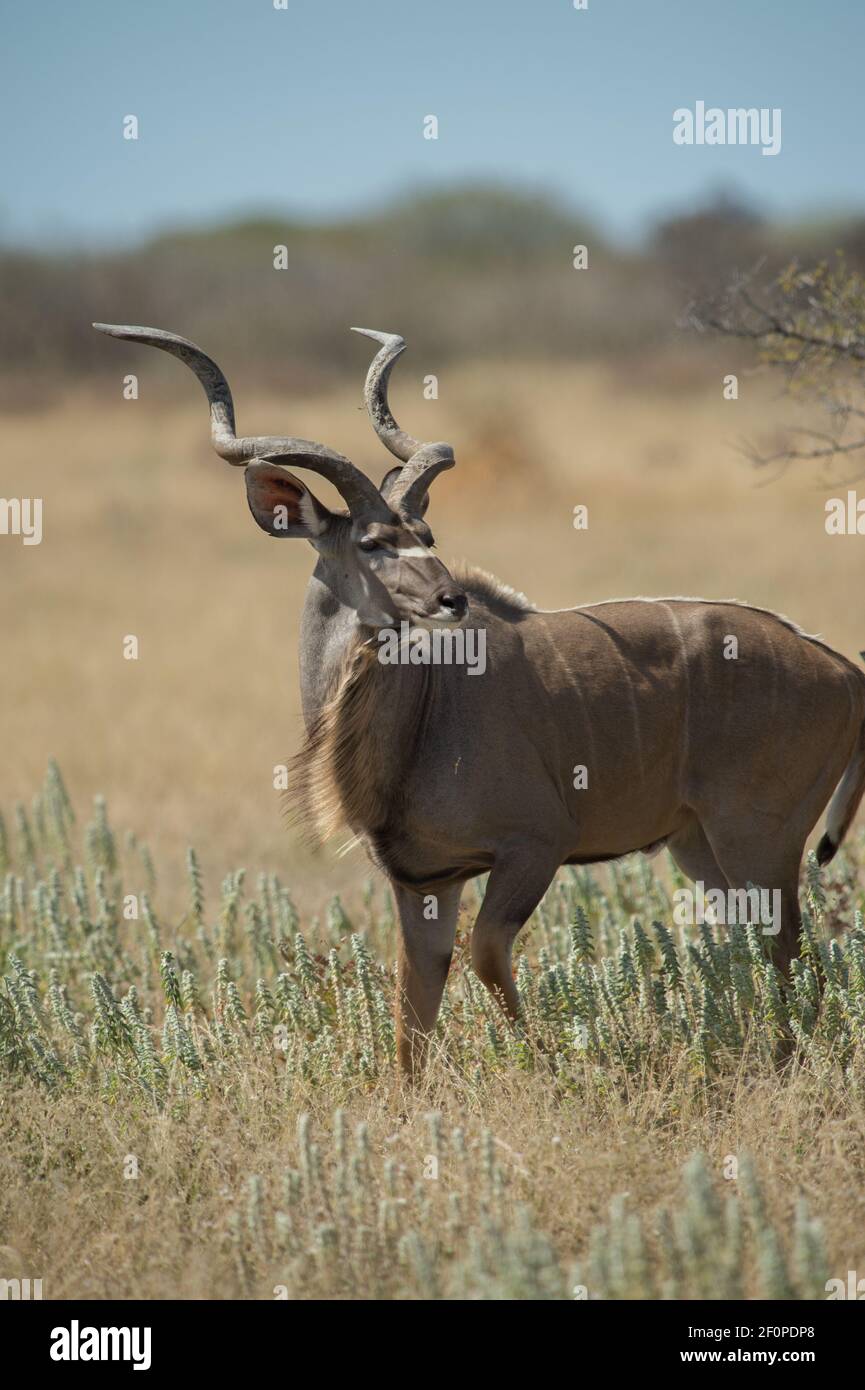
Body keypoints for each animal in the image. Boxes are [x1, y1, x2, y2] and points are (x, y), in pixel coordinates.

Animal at [94, 322, 865, 1073]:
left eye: (426, 534)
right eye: (372, 542)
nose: (449, 598)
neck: (425, 713)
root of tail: (842, 670)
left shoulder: (535, 845)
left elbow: (488, 957)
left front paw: (548, 1064)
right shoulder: (424, 883)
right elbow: (411, 1016)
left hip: (755, 840)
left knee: (793, 951)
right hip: (698, 846)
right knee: (768, 946)